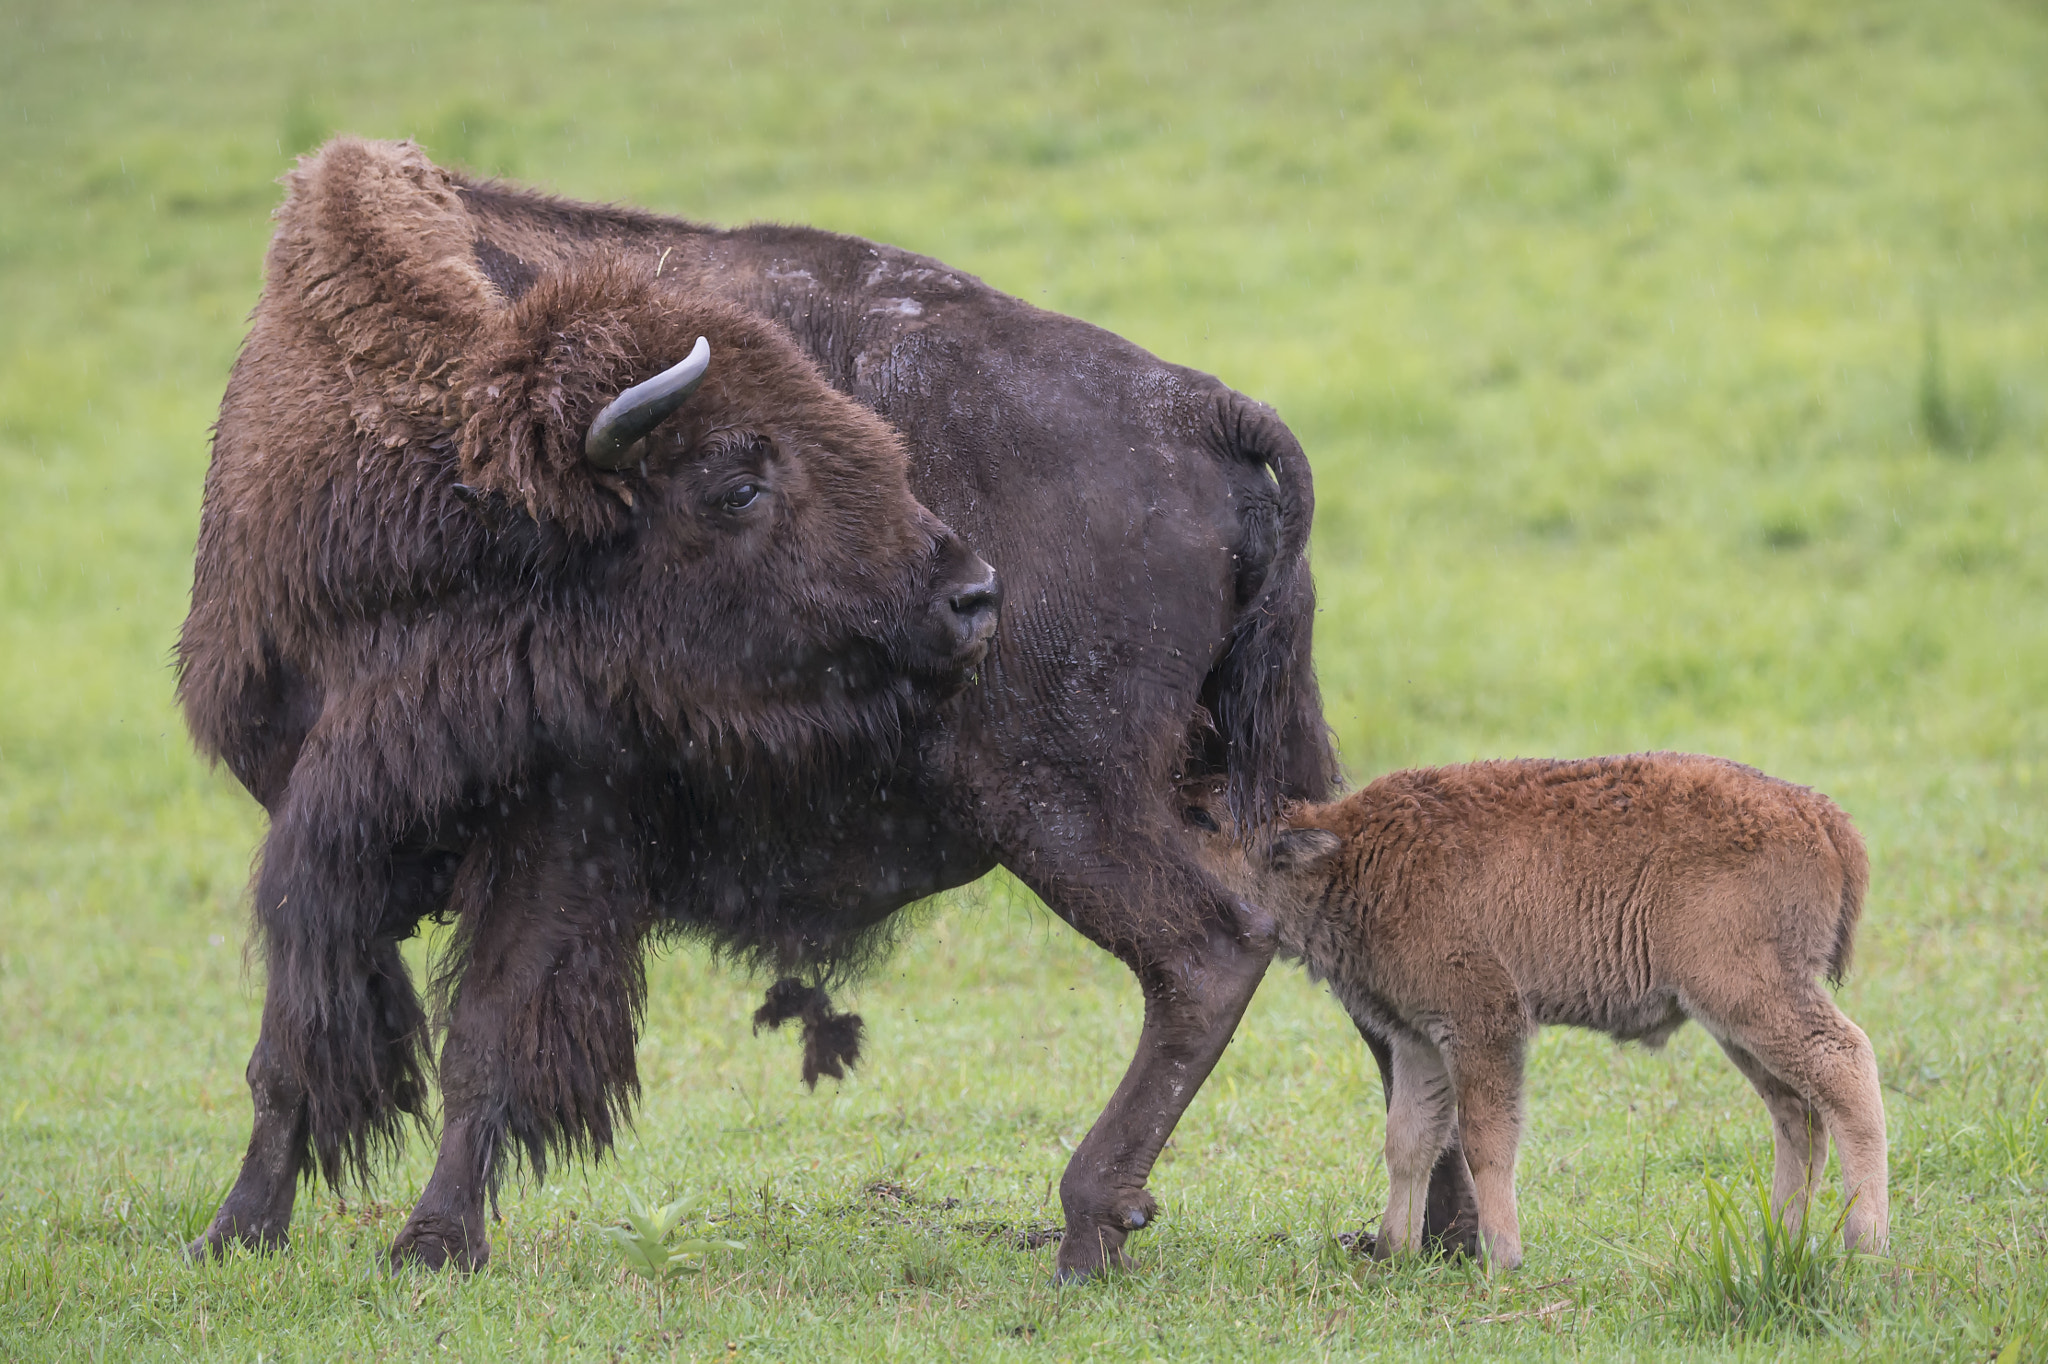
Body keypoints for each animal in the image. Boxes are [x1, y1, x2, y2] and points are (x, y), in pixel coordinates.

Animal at [181, 138, 1474, 1280]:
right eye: (738, 482)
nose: (969, 592)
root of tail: (1203, 410)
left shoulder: (549, 831)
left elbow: (481, 1036)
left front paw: (432, 1243)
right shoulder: (323, 818)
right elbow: (292, 1047)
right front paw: (235, 1233)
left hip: (1059, 799)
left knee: (1208, 949)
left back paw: (1089, 1227)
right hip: (1262, 765)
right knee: (1361, 966)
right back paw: (1439, 1235)